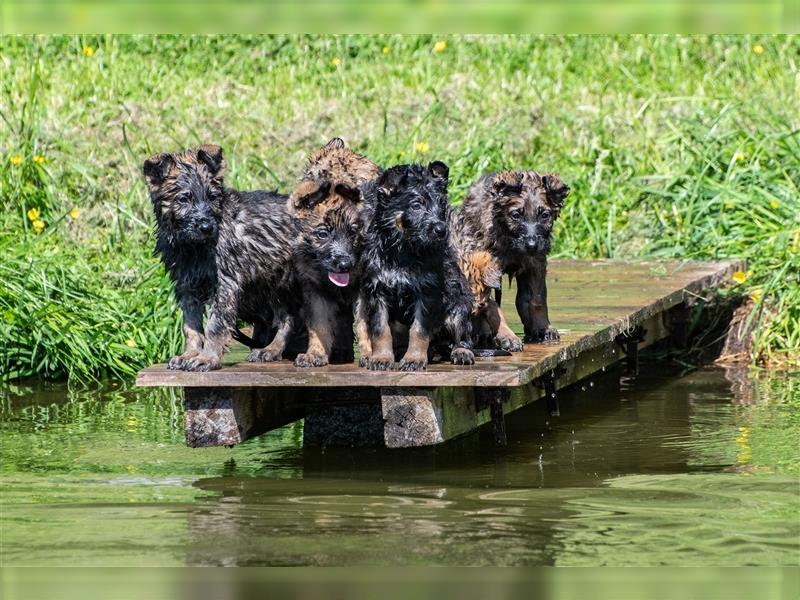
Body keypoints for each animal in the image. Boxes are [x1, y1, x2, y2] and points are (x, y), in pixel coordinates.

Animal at [142, 145, 298, 370]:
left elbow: (214, 326)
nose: (207, 227)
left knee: (287, 318)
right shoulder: (186, 286)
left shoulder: (225, 284)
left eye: (212, 197)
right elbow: (190, 326)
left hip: (281, 282)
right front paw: (189, 354)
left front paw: (207, 358)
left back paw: (272, 349)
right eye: (184, 199)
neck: (193, 247)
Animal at [288, 138, 382, 368]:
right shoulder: (314, 288)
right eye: (322, 234)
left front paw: (371, 354)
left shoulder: (364, 286)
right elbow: (319, 324)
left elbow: (365, 324)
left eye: (352, 232)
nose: (345, 265)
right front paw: (315, 353)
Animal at [358, 162, 476, 372]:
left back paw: (461, 352)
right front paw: (381, 358)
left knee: (463, 334)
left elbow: (419, 330)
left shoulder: (427, 290)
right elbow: (380, 330)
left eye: (442, 205)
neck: (404, 252)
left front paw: (414, 359)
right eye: (416, 206)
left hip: (459, 303)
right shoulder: (376, 290)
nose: (441, 230)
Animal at [456, 169, 568, 346]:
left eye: (544, 215)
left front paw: (543, 328)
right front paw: (503, 335)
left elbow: (537, 300)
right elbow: (491, 306)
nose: (531, 245)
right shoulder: (486, 267)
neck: (510, 242)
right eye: (515, 215)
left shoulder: (535, 264)